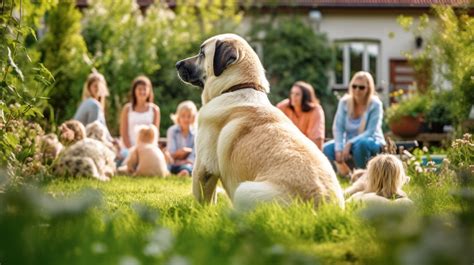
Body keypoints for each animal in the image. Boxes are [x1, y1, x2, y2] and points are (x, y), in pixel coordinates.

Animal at [176, 34, 342, 209]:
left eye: (202, 53)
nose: (177, 64)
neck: (237, 87)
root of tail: (321, 205)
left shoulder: (203, 166)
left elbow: (202, 201)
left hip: (244, 190)